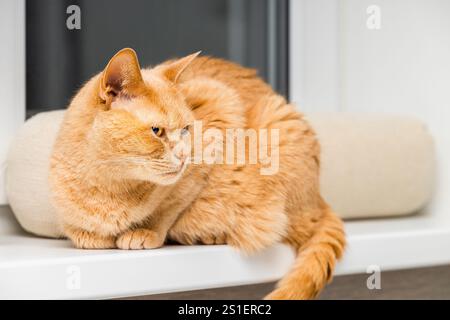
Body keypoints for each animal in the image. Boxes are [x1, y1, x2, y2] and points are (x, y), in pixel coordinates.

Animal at [49, 48, 344, 300]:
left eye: (186, 130)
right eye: (157, 131)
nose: (183, 155)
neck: (107, 187)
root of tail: (318, 200)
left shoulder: (219, 107)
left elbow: (167, 207)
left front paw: (146, 230)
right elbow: (78, 231)